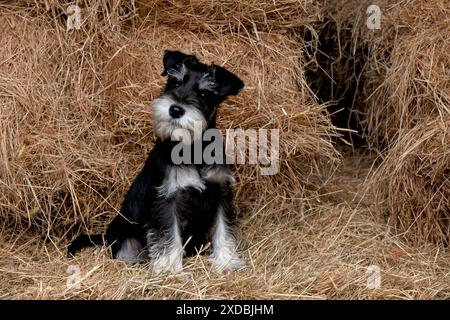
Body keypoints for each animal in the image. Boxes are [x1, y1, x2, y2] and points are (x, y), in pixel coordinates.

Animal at [69, 49, 246, 272]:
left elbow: (223, 229)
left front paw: (227, 261)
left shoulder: (221, 193)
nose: (175, 110)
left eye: (204, 93)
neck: (192, 148)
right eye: (174, 82)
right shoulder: (167, 199)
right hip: (125, 240)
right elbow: (169, 236)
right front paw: (170, 268)